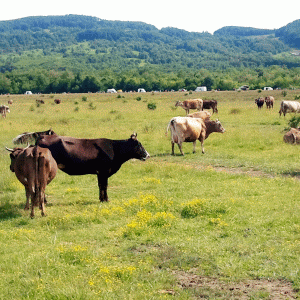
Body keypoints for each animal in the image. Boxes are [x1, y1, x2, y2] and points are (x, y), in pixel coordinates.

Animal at [13, 131, 150, 202]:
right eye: (139, 145)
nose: (147, 155)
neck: (114, 149)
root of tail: (43, 136)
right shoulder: (104, 171)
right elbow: (104, 186)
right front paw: (105, 199)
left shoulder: (100, 173)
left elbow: (101, 185)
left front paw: (101, 199)